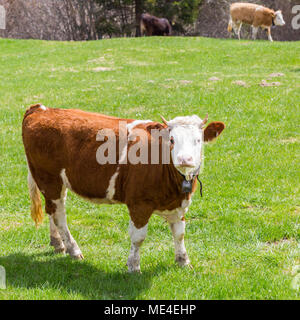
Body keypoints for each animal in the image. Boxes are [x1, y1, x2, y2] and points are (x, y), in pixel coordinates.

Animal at [22, 104, 225, 272]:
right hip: (48, 178)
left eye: (198, 140)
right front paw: (133, 266)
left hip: (57, 182)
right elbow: (138, 237)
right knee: (59, 215)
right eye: (172, 140)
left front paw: (183, 261)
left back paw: (58, 243)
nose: (185, 160)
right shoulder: (139, 204)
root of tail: (41, 109)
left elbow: (179, 233)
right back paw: (73, 249)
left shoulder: (180, 204)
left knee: (52, 210)